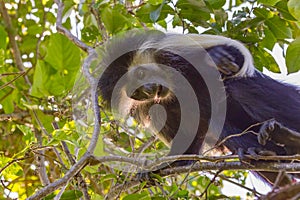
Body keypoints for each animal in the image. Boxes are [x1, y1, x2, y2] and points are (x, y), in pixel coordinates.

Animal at [98, 30, 300, 186]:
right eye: (136, 92)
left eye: (141, 73)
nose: (149, 89)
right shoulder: (156, 106)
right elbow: (188, 145)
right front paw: (156, 169)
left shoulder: (171, 48)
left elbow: (236, 52)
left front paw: (217, 56)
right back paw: (263, 153)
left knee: (239, 87)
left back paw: (290, 139)